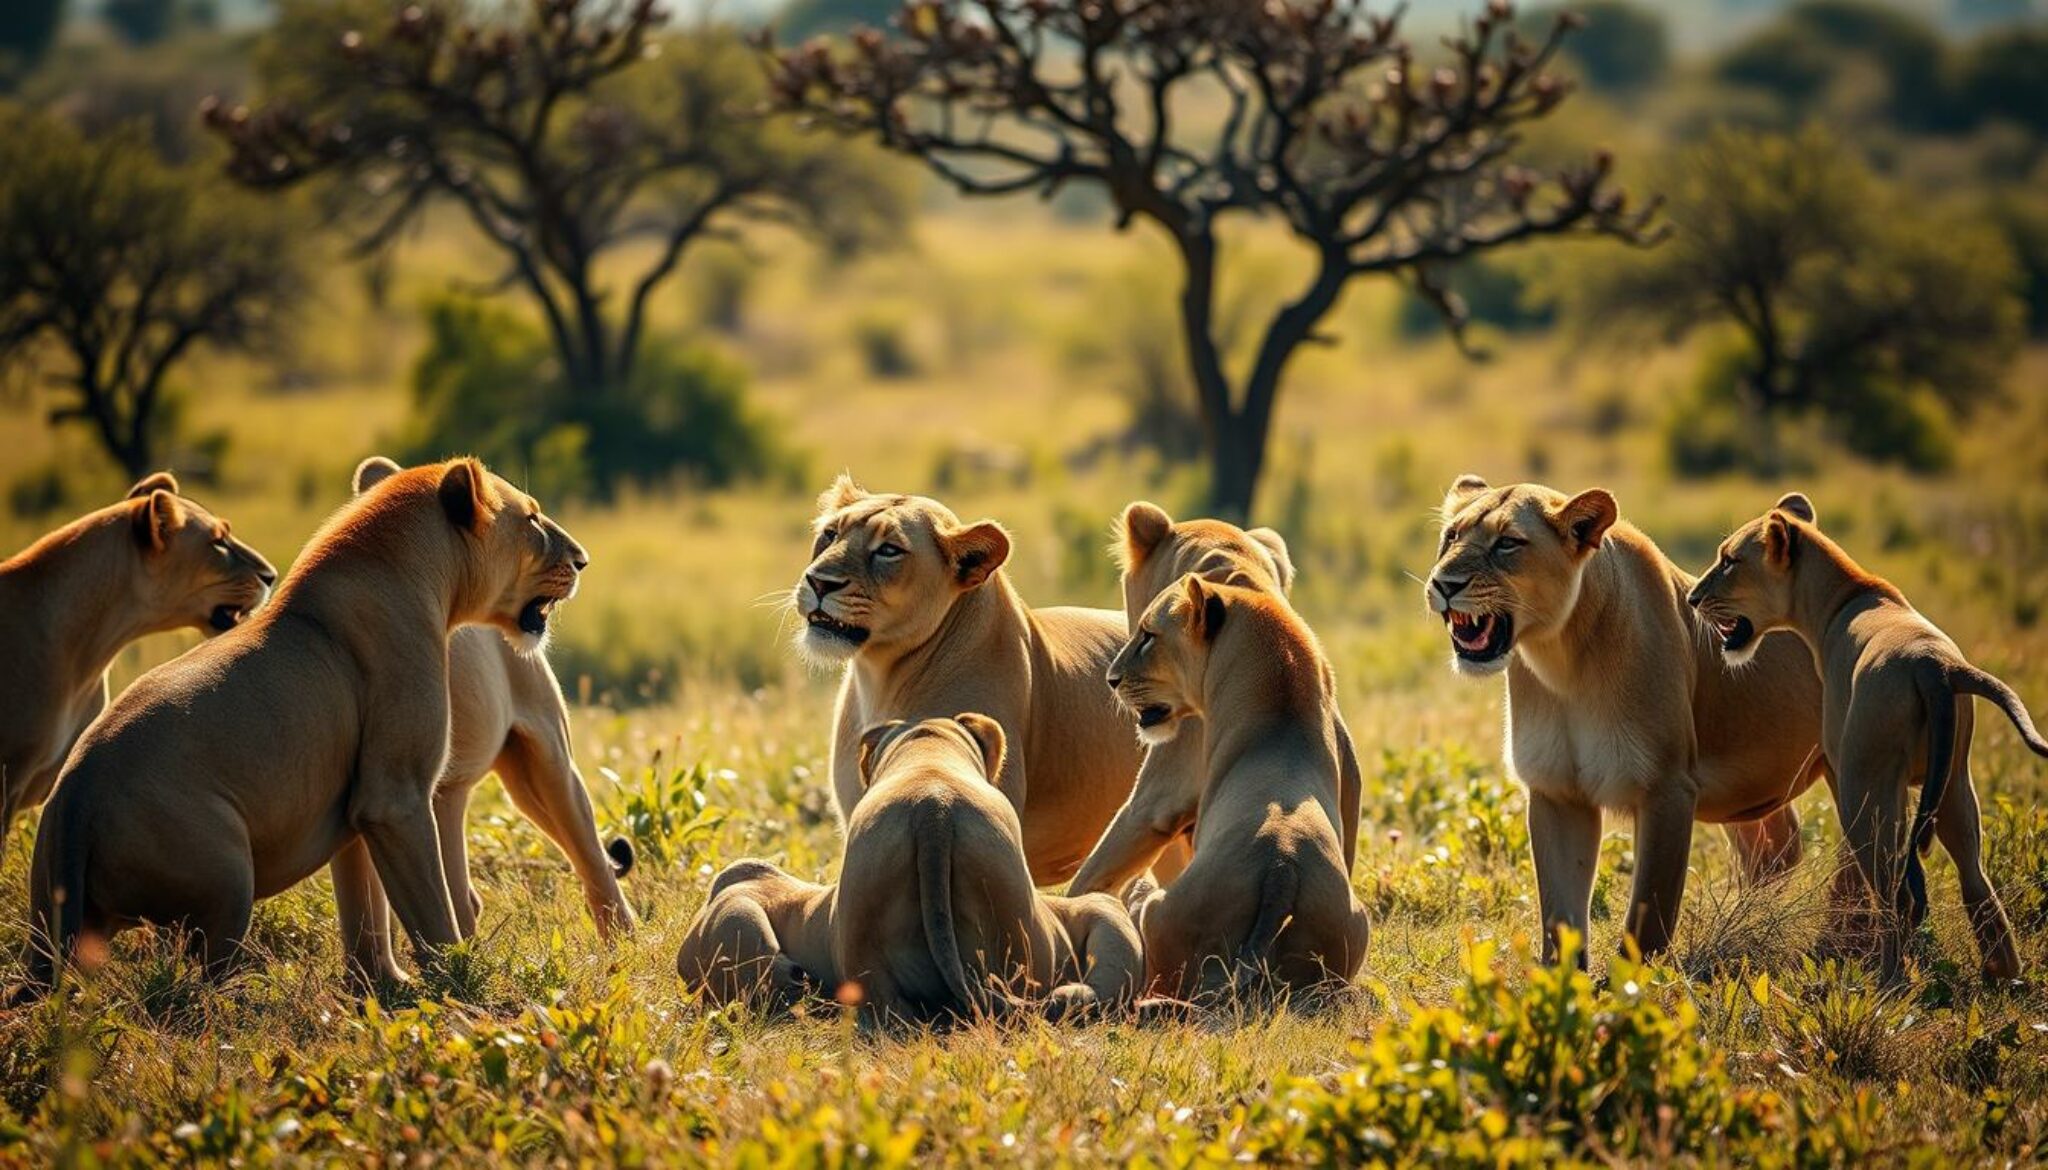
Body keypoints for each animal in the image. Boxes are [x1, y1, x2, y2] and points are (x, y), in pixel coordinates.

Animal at [333, 457, 633, 988]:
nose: (581, 560)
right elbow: (366, 897)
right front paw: (374, 985)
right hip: (478, 787)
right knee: (461, 892)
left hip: (547, 760)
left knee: (594, 860)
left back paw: (625, 948)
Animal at [1107, 576, 1369, 1001]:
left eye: (1148, 635)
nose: (1111, 679)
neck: (1283, 706)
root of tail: (1281, 869)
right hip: (1355, 926)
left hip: (1162, 916)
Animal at [1426, 476, 1825, 964]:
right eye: (1451, 537)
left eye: (1507, 543)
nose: (1443, 583)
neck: (1562, 660)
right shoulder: (1557, 792)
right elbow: (1559, 918)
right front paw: (1559, 982)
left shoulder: (1667, 788)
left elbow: (1647, 917)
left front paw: (1631, 980)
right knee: (1776, 849)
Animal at [1688, 492, 2041, 981]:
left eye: (1729, 560)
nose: (1692, 598)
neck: (1841, 596)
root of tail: (1932, 666)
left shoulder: (1842, 761)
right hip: (1954, 785)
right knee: (1976, 880)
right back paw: (2004, 976)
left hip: (1865, 786)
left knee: (1895, 895)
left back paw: (1888, 980)